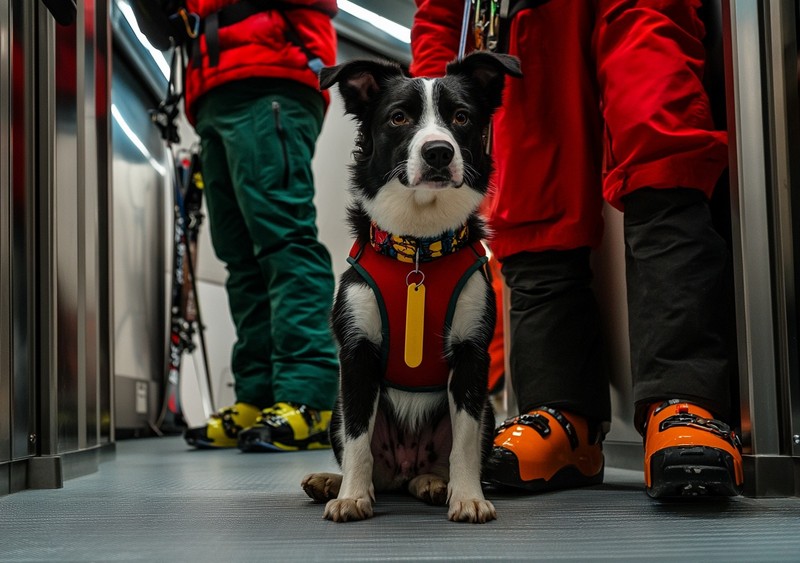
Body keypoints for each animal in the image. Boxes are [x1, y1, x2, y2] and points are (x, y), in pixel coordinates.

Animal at [304, 50, 520, 524]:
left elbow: (463, 443)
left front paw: (467, 496)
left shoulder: (472, 355)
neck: (419, 247)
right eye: (399, 117)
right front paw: (351, 495)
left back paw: (435, 484)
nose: (438, 151)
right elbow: (358, 440)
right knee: (368, 458)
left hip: (486, 414)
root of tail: (405, 465)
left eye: (461, 116)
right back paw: (332, 481)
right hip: (336, 410)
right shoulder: (357, 354)